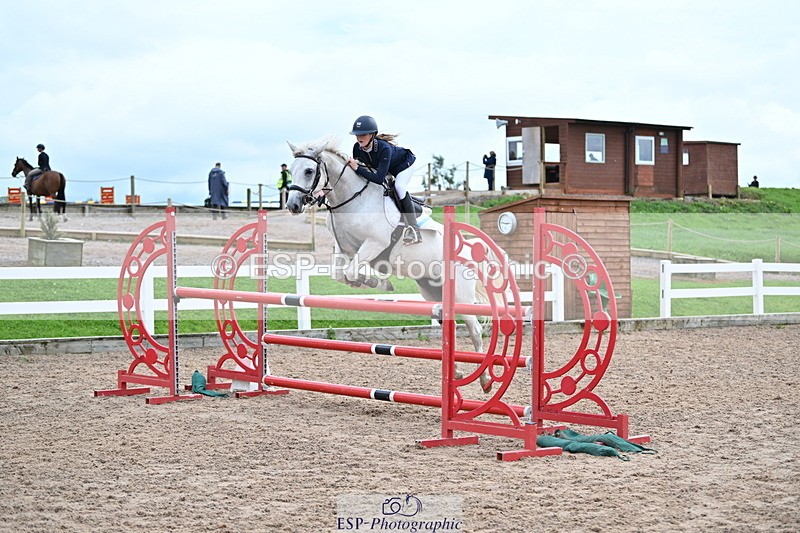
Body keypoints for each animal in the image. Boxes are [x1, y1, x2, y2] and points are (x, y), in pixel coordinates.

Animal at [285, 138, 493, 391]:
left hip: (460, 296)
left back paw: (485, 380)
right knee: (449, 327)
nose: (293, 205)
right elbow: (341, 275)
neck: (351, 200)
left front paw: (378, 283)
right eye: (291, 170)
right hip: (432, 291)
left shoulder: (375, 244)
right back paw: (456, 371)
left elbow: (352, 271)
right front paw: (371, 282)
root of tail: (467, 249)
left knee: (475, 330)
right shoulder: (343, 249)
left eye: (308, 171)